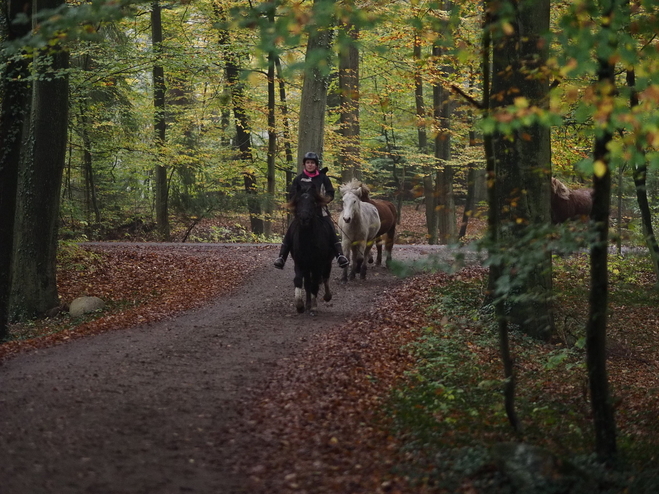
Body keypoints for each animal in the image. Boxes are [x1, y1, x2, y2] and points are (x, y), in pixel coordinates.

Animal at [290, 185, 336, 316]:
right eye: (298, 201)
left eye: (313, 202)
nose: (304, 218)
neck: (307, 241)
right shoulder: (300, 262)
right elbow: (299, 281)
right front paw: (300, 305)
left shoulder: (317, 264)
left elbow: (315, 282)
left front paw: (314, 307)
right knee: (308, 283)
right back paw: (307, 304)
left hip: (327, 263)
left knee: (325, 278)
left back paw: (326, 297)